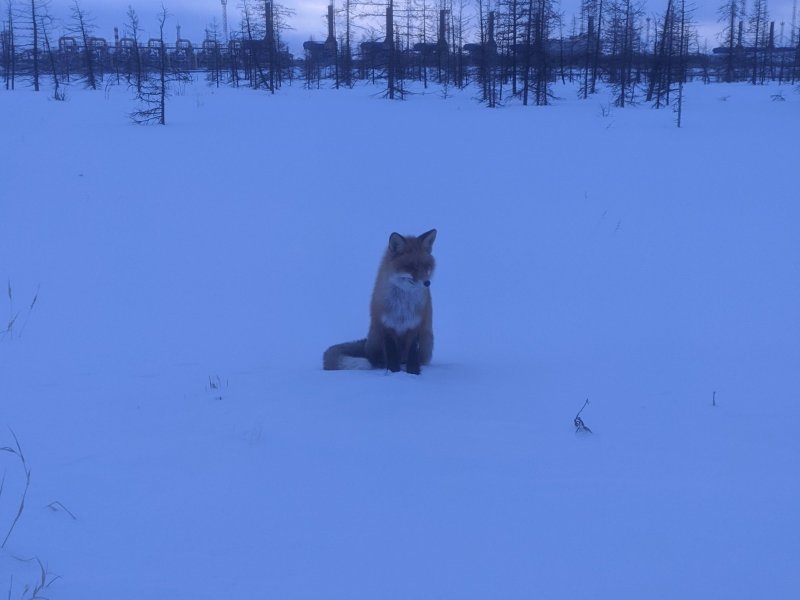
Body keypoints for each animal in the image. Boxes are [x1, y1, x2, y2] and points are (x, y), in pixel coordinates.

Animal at [324, 230, 438, 376]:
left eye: (426, 266)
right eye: (411, 266)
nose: (427, 283)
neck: (402, 308)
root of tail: (366, 344)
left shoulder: (416, 325)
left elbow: (413, 353)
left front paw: (413, 373)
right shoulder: (386, 325)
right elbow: (392, 353)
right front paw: (394, 372)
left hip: (427, 339)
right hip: (376, 337)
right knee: (376, 360)